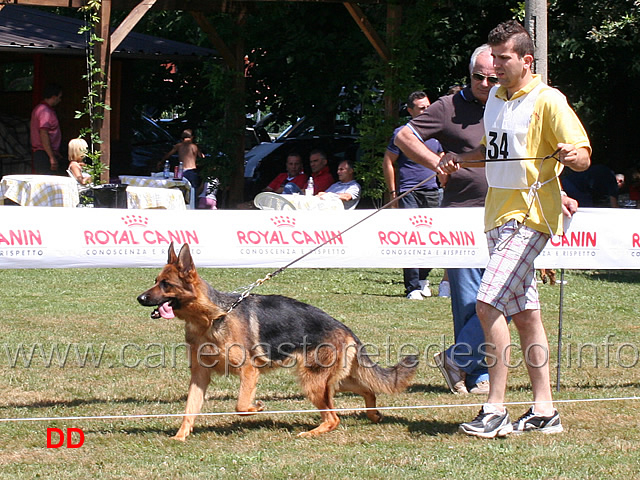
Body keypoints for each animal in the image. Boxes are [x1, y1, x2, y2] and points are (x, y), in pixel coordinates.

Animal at [138, 242, 418, 440]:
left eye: (166, 285)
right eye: (155, 282)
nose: (140, 298)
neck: (212, 317)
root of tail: (344, 328)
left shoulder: (249, 371)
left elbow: (241, 405)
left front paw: (257, 408)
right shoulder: (199, 376)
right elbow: (189, 408)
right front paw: (180, 436)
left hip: (313, 382)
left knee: (333, 418)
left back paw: (312, 432)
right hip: (333, 381)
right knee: (368, 390)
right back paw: (373, 415)